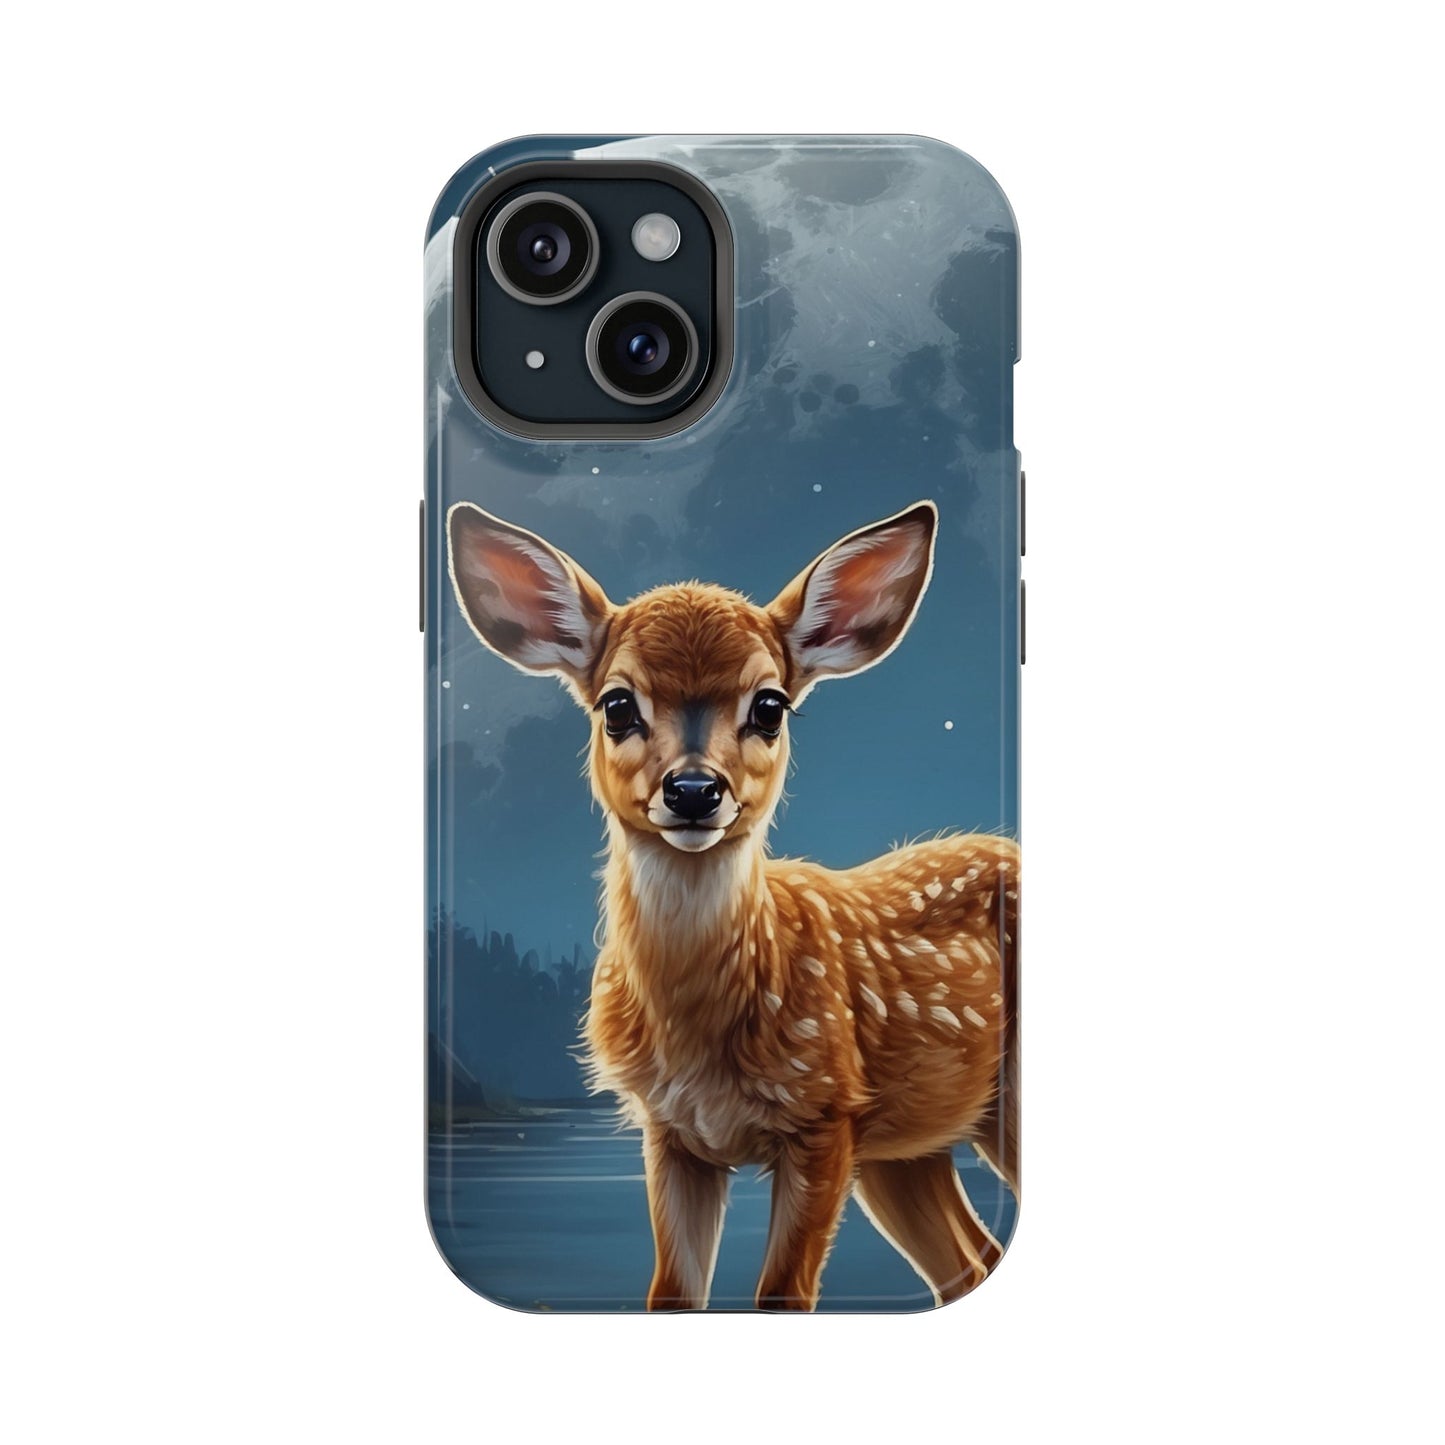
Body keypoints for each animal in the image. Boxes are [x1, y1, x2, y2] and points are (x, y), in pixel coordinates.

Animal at [447, 497, 1019, 1311]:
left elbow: (781, 1292)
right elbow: (671, 1291)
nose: (693, 789)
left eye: (770, 705)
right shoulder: (670, 1132)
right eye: (616, 704)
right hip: (905, 1146)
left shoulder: (823, 1114)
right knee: (971, 1262)